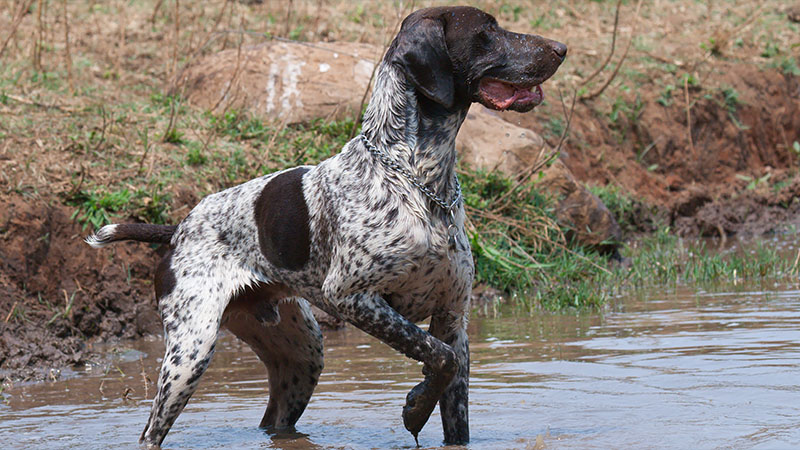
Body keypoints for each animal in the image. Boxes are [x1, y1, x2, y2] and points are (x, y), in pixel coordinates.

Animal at [86, 6, 564, 446]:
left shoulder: (453, 317)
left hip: (302, 356)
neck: (420, 182)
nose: (561, 48)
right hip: (190, 352)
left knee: (275, 421)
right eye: (487, 32)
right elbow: (438, 358)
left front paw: (422, 404)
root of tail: (178, 229)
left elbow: (448, 379)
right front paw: (415, 409)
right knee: (150, 432)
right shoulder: (352, 297)